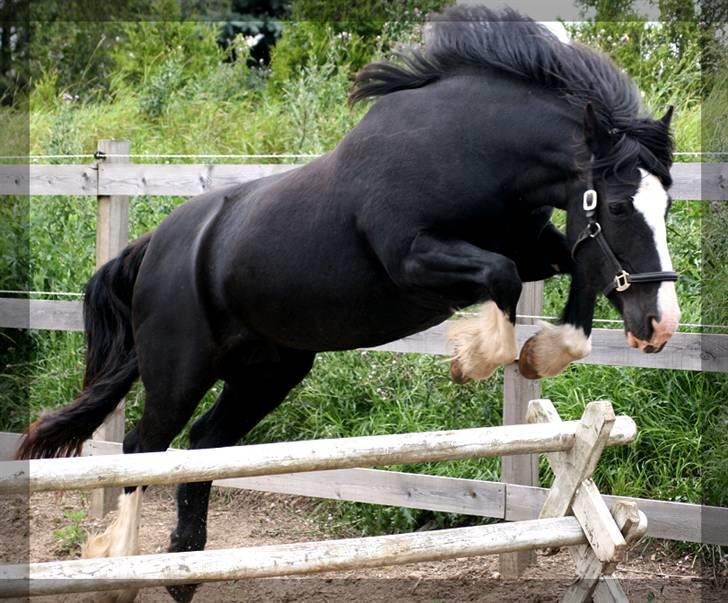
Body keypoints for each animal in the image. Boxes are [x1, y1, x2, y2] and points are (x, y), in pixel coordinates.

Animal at [18, 8, 676, 603]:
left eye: (666, 203)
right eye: (620, 205)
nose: (659, 324)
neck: (471, 150)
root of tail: (154, 244)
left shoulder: (537, 245)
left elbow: (576, 276)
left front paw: (540, 354)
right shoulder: (414, 260)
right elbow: (503, 278)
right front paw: (474, 359)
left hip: (268, 372)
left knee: (202, 444)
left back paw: (186, 567)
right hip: (180, 371)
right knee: (142, 451)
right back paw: (121, 569)